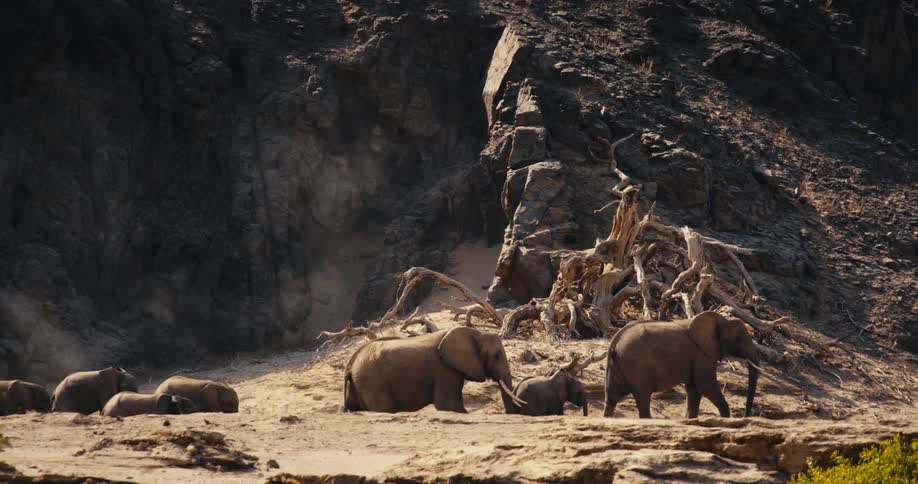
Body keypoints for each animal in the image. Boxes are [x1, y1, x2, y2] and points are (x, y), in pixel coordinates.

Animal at [342, 327, 525, 413]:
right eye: (496, 356)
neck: (477, 333)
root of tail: (350, 364)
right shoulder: (443, 368)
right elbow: (448, 406)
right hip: (372, 382)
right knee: (384, 409)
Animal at [603, 311, 760, 419]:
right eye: (738, 338)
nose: (746, 416)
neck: (721, 319)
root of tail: (614, 342)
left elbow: (694, 389)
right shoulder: (702, 354)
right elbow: (705, 386)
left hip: (615, 366)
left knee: (612, 397)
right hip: (636, 365)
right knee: (642, 396)